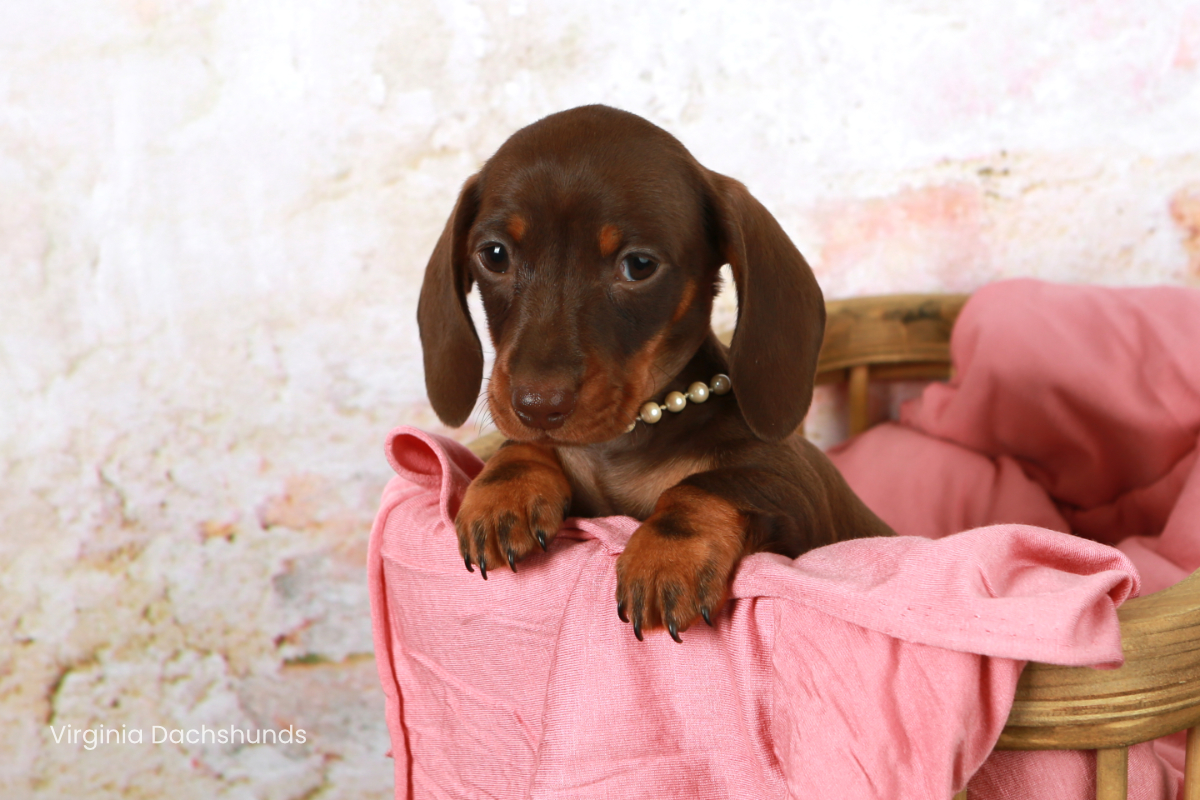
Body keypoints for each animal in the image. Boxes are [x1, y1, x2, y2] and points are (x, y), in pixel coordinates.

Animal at [420, 107, 892, 642]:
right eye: (494, 254)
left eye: (640, 265)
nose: (537, 407)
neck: (623, 441)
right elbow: (522, 447)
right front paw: (505, 488)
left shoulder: (798, 494)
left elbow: (702, 484)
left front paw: (665, 556)